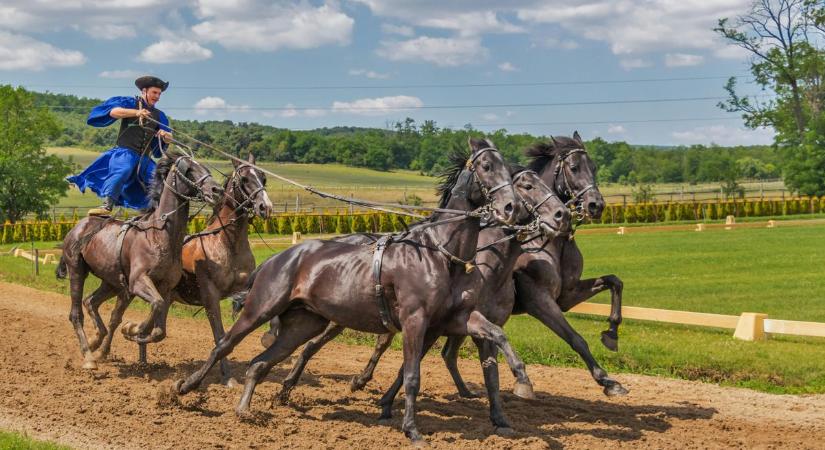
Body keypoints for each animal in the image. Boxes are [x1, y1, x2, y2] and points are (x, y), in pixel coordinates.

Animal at [55, 155, 224, 370]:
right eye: (190, 170)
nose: (217, 190)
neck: (158, 235)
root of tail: (77, 227)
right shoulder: (138, 282)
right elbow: (156, 306)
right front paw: (133, 329)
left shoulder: (165, 287)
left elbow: (159, 329)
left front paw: (134, 331)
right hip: (77, 271)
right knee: (76, 314)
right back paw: (89, 356)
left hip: (111, 282)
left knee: (91, 302)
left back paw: (96, 341)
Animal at [172, 154, 272, 384]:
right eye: (244, 179)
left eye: (263, 177)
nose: (265, 207)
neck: (228, 243)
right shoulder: (211, 296)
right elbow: (220, 335)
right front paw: (227, 377)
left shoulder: (245, 288)